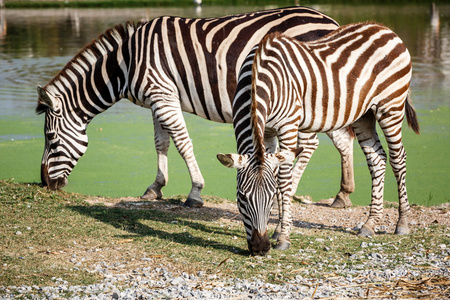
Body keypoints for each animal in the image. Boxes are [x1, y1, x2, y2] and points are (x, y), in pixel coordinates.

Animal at [35, 7, 352, 209]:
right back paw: (342, 195)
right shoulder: (158, 99)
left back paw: (288, 192)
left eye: (50, 138)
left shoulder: (162, 94)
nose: (44, 184)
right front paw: (155, 187)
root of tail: (332, 22)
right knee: (342, 139)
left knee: (310, 143)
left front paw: (195, 193)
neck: (126, 64)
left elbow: (182, 142)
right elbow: (161, 142)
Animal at [216, 22, 420, 254]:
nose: (261, 247)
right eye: (241, 197)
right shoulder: (267, 133)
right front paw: (279, 229)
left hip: (391, 107)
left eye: (269, 197)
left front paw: (283, 236)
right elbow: (277, 174)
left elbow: (284, 180)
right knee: (377, 159)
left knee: (398, 158)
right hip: (364, 114)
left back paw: (402, 223)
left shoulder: (288, 125)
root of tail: (385, 28)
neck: (257, 78)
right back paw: (370, 224)